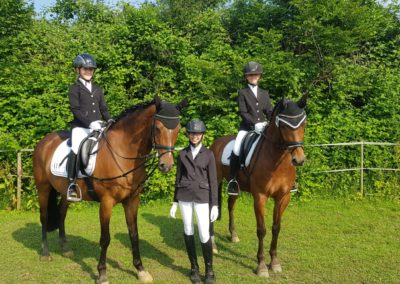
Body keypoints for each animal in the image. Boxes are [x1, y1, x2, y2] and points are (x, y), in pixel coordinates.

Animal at [33, 96, 188, 282]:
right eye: (157, 128)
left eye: (178, 128)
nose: (167, 165)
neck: (123, 152)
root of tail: (44, 141)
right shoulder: (106, 202)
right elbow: (105, 238)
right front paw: (102, 274)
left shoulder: (132, 200)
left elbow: (134, 234)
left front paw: (141, 270)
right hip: (43, 188)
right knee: (44, 217)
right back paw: (45, 253)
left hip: (66, 192)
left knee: (62, 213)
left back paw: (65, 248)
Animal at [209, 95, 306, 278]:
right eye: (284, 125)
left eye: (304, 124)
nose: (299, 159)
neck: (277, 161)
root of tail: (215, 143)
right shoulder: (260, 197)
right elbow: (262, 230)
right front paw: (261, 266)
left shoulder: (283, 197)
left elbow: (276, 227)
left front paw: (274, 262)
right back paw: (212, 246)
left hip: (235, 187)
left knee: (231, 206)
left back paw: (233, 235)